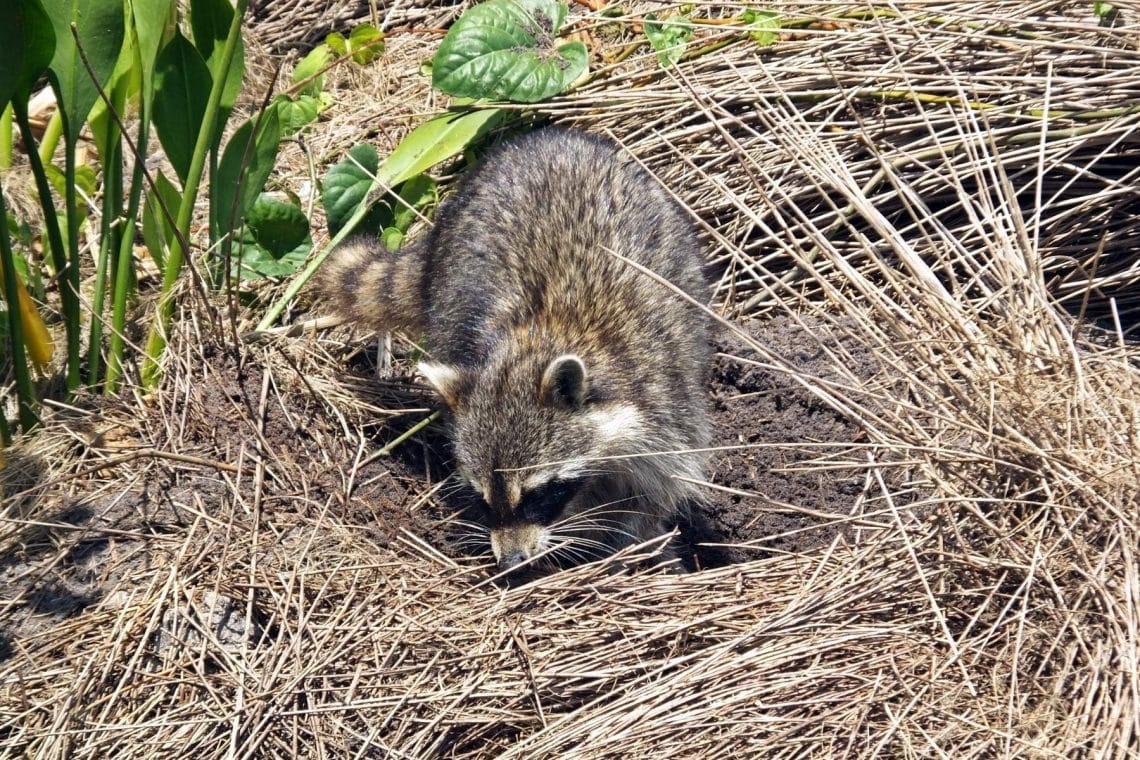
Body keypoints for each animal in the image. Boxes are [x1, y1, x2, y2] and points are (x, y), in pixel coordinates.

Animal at [321, 127, 706, 574]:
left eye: (538, 494)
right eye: (485, 498)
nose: (511, 561)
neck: (545, 334)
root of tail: (539, 139)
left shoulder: (664, 393)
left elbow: (656, 488)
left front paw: (629, 541)